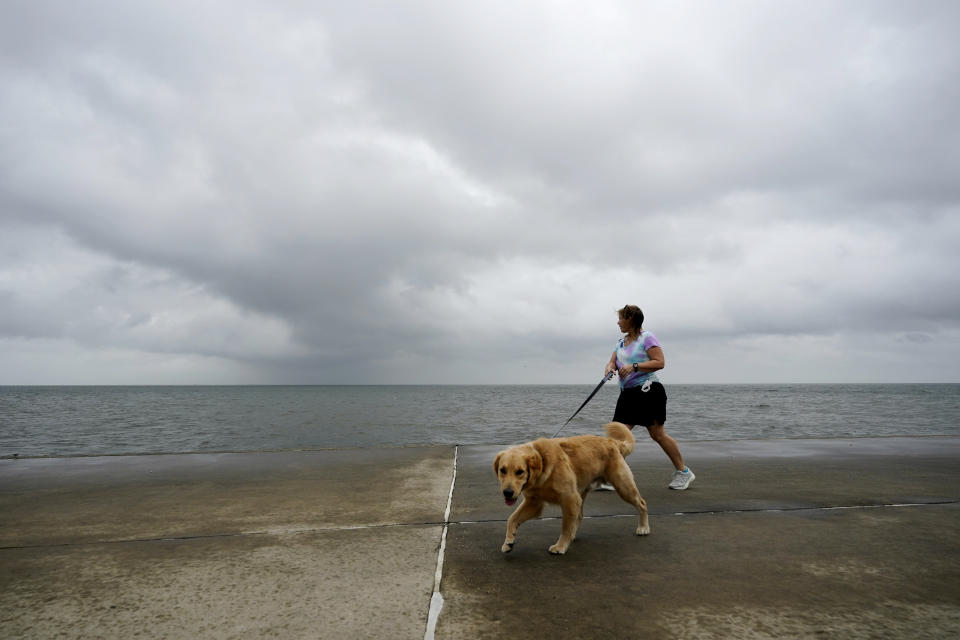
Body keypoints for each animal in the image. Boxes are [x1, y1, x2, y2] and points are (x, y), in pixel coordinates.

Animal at [492, 420, 648, 556]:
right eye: (502, 470)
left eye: (520, 471)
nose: (507, 493)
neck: (543, 465)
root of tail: (611, 441)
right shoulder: (534, 503)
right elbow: (512, 519)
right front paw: (509, 542)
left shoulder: (569, 499)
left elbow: (565, 526)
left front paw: (560, 546)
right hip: (581, 493)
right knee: (579, 516)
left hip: (623, 487)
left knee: (642, 503)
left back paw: (643, 527)